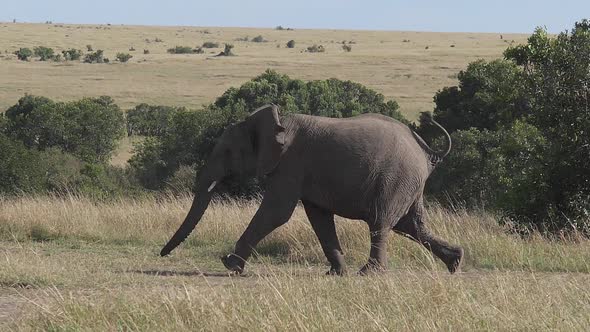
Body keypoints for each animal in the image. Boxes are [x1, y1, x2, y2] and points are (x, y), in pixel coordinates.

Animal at [160, 104, 464, 274]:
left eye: (227, 151)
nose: (162, 255)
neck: (279, 123)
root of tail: (426, 150)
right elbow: (319, 218)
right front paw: (336, 273)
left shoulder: (290, 164)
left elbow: (276, 212)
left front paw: (230, 265)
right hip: (408, 182)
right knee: (409, 225)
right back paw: (455, 263)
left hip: (395, 179)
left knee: (381, 221)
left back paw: (369, 273)